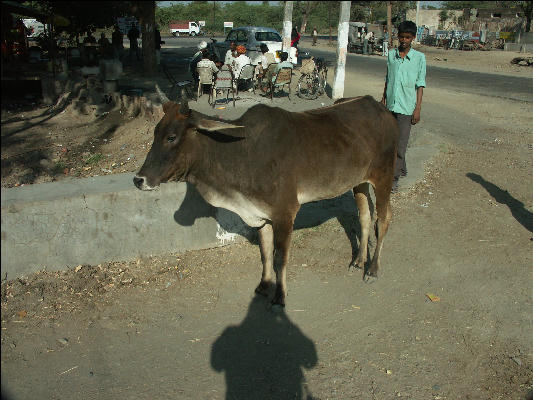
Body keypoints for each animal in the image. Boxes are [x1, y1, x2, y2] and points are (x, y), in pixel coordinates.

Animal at [135, 87, 396, 306]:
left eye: (171, 137)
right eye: (155, 133)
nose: (139, 179)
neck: (241, 152)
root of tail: (379, 107)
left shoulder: (285, 213)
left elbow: (280, 257)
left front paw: (280, 295)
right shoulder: (259, 215)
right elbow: (265, 252)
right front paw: (264, 285)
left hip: (384, 177)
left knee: (383, 220)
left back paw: (372, 269)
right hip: (360, 182)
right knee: (364, 217)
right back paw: (358, 261)